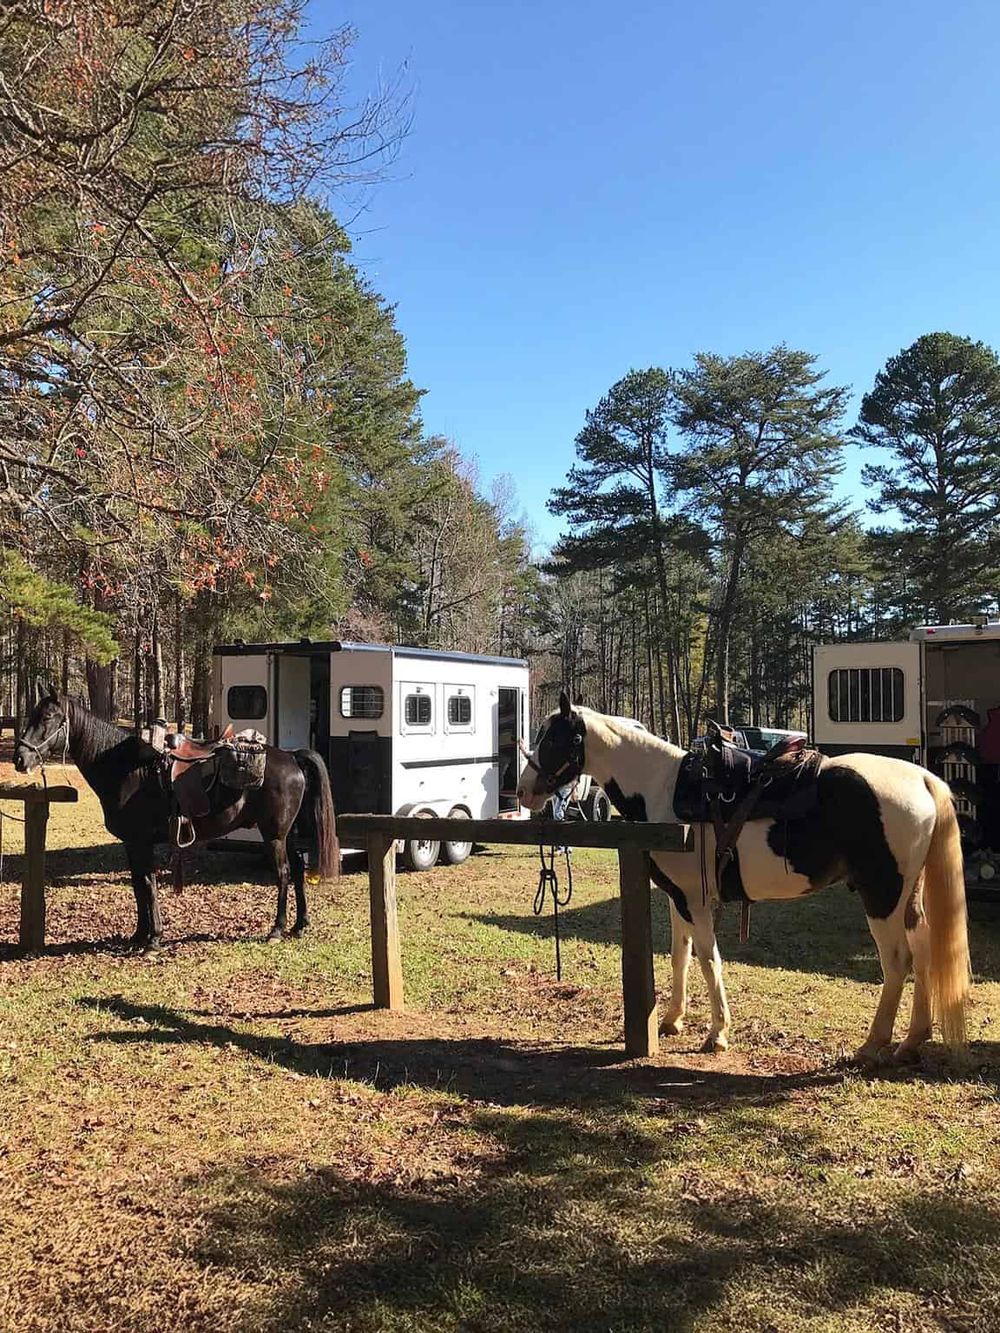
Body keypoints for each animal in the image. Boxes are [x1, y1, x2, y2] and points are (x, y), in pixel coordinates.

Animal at [14, 685, 339, 950]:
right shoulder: (132, 843)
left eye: (48, 718)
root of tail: (291, 757)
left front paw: (154, 939)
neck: (126, 769)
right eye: (32, 715)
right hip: (287, 834)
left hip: (273, 835)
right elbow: (138, 884)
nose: (20, 759)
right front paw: (139, 935)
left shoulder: (140, 841)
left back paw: (277, 929)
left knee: (283, 873)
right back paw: (299, 925)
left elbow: (147, 883)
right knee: (298, 870)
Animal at [518, 694, 971, 1065]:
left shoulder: (697, 900)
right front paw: (672, 1019)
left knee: (897, 962)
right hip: (906, 898)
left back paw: (874, 1044)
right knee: (923, 951)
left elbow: (708, 959)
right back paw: (912, 1040)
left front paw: (717, 1034)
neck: (664, 790)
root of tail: (922, 779)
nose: (523, 791)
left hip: (881, 896)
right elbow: (680, 954)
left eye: (554, 739)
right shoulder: (678, 898)